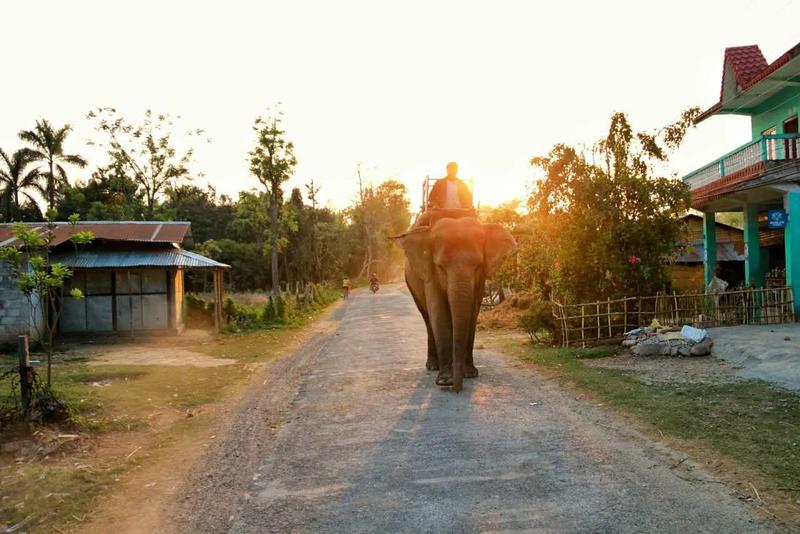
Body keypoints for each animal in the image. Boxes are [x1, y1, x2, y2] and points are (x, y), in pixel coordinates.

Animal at [400, 215, 520, 394]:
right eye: (441, 267)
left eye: (478, 266)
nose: (455, 388)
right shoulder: (430, 274)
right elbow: (439, 313)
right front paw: (444, 380)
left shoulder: (480, 280)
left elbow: (472, 313)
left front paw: (470, 374)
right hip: (411, 283)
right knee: (427, 319)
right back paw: (432, 366)